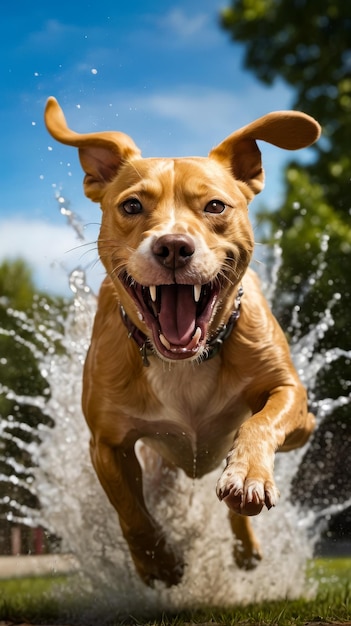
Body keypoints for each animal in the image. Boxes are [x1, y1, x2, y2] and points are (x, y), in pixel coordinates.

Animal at [44, 97, 322, 584]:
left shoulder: (293, 398)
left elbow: (260, 422)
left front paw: (248, 473)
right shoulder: (107, 442)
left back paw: (244, 543)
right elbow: (130, 510)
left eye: (215, 205)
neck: (185, 361)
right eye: (132, 205)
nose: (173, 246)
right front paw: (158, 561)